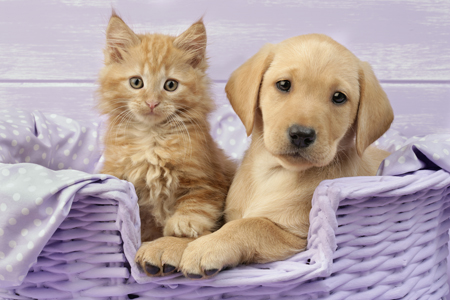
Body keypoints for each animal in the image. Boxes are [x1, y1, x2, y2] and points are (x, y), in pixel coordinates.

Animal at [98, 14, 236, 244]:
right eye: (136, 82)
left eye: (171, 85)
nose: (152, 103)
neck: (152, 138)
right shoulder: (117, 170)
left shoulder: (206, 178)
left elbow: (197, 203)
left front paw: (184, 224)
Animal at [134, 33, 394, 278]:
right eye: (284, 84)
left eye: (339, 97)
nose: (301, 135)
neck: (273, 174)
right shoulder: (228, 216)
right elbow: (205, 227)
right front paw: (170, 244)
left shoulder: (298, 238)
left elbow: (251, 225)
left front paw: (205, 247)